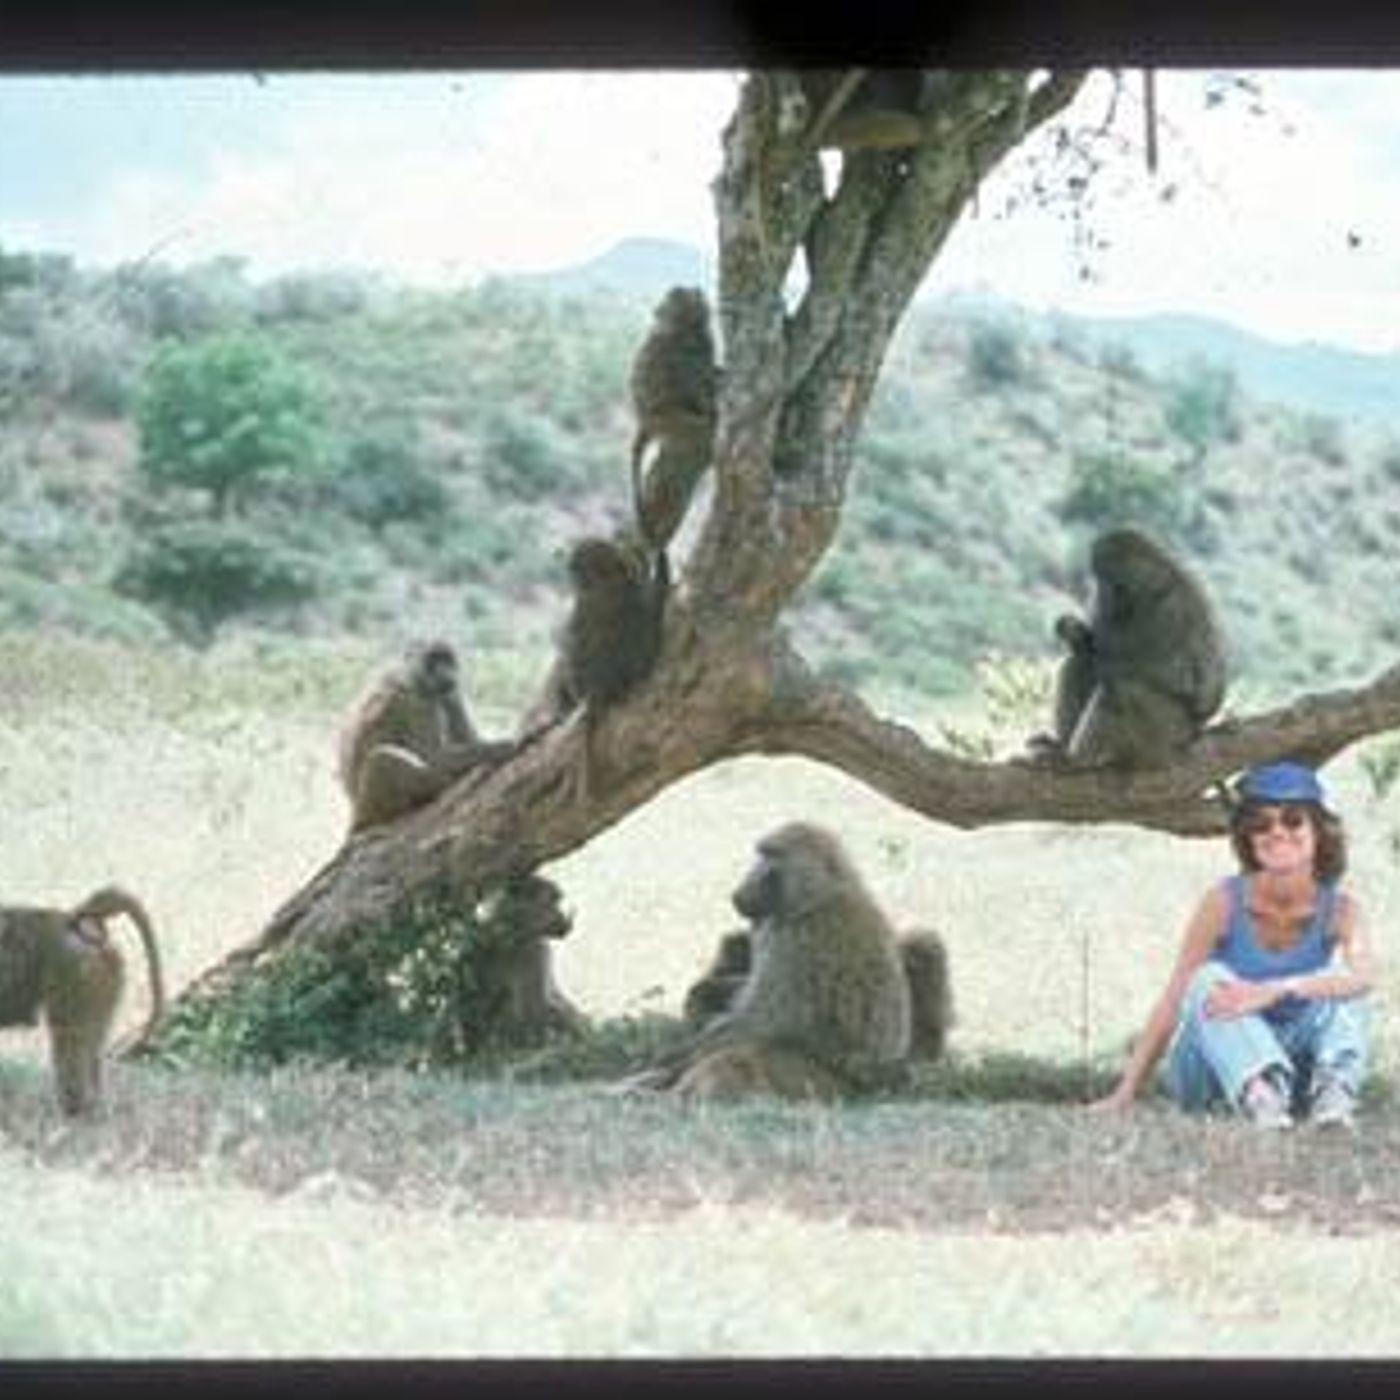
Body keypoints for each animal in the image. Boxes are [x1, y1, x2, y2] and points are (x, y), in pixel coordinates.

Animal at [0, 886, 164, 1115]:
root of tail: (68, 920)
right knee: (91, 1046)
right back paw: (94, 1108)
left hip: (75, 976)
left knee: (70, 1043)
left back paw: (73, 1111)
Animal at [339, 639, 515, 833]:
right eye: (434, 659)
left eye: (448, 659)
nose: (446, 672)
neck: (411, 676)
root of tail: (357, 812)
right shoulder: (415, 703)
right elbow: (434, 757)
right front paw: (500, 747)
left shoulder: (451, 694)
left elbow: (469, 739)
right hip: (373, 806)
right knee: (382, 759)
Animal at [629, 287, 719, 557]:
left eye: (672, 297)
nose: (658, 310)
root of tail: (644, 420)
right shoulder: (681, 355)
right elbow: (696, 388)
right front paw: (711, 403)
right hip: (668, 420)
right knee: (700, 433)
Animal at [629, 822, 911, 1103]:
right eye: (761, 854)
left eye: (772, 858)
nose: (740, 892)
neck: (817, 897)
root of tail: (871, 1085)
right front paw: (707, 992)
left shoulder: (794, 939)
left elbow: (761, 1020)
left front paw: (668, 1062)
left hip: (813, 1081)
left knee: (740, 1054)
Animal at [1032, 526, 1227, 769]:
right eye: (1098, 579)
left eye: (1109, 579)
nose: (1101, 594)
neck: (1149, 591)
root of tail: (1192, 735)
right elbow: (1091, 650)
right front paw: (1075, 632)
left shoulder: (1172, 610)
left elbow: (1179, 678)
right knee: (1079, 665)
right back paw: (1061, 745)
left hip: (1168, 733)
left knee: (1119, 688)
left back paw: (1075, 760)